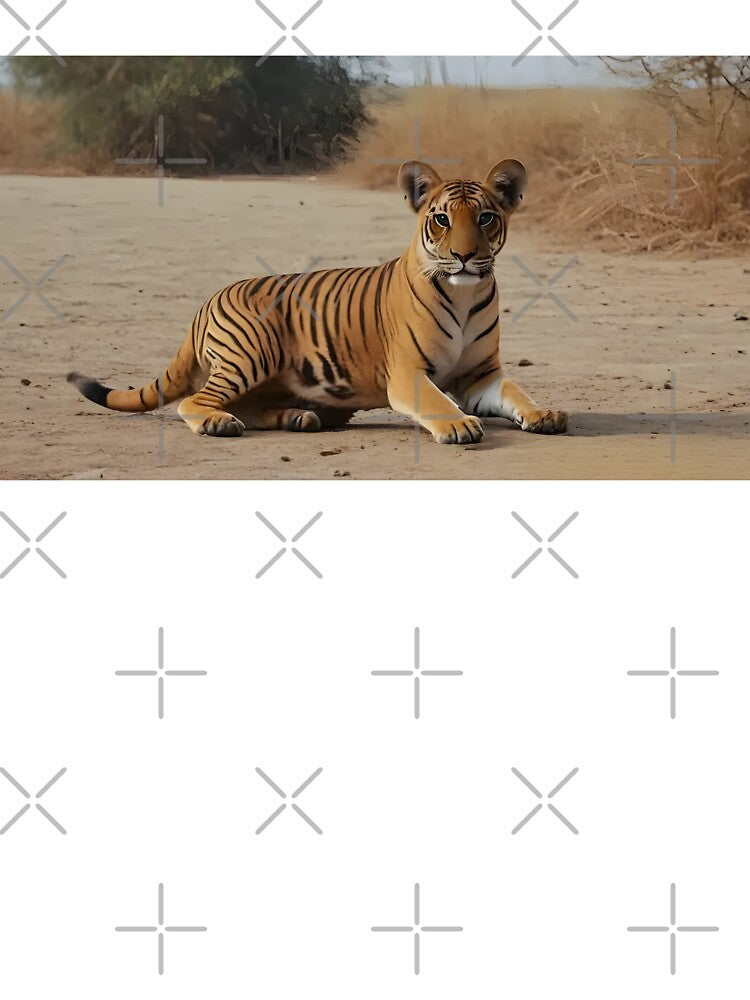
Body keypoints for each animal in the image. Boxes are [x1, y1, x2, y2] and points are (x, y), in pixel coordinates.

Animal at [68, 158, 568, 444]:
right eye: (442, 219)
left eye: (485, 218)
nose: (464, 256)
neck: (465, 292)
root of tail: (207, 300)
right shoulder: (408, 372)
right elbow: (436, 400)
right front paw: (459, 424)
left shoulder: (482, 375)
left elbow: (516, 393)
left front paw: (543, 413)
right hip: (251, 353)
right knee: (193, 401)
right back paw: (219, 424)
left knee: (244, 406)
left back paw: (296, 418)